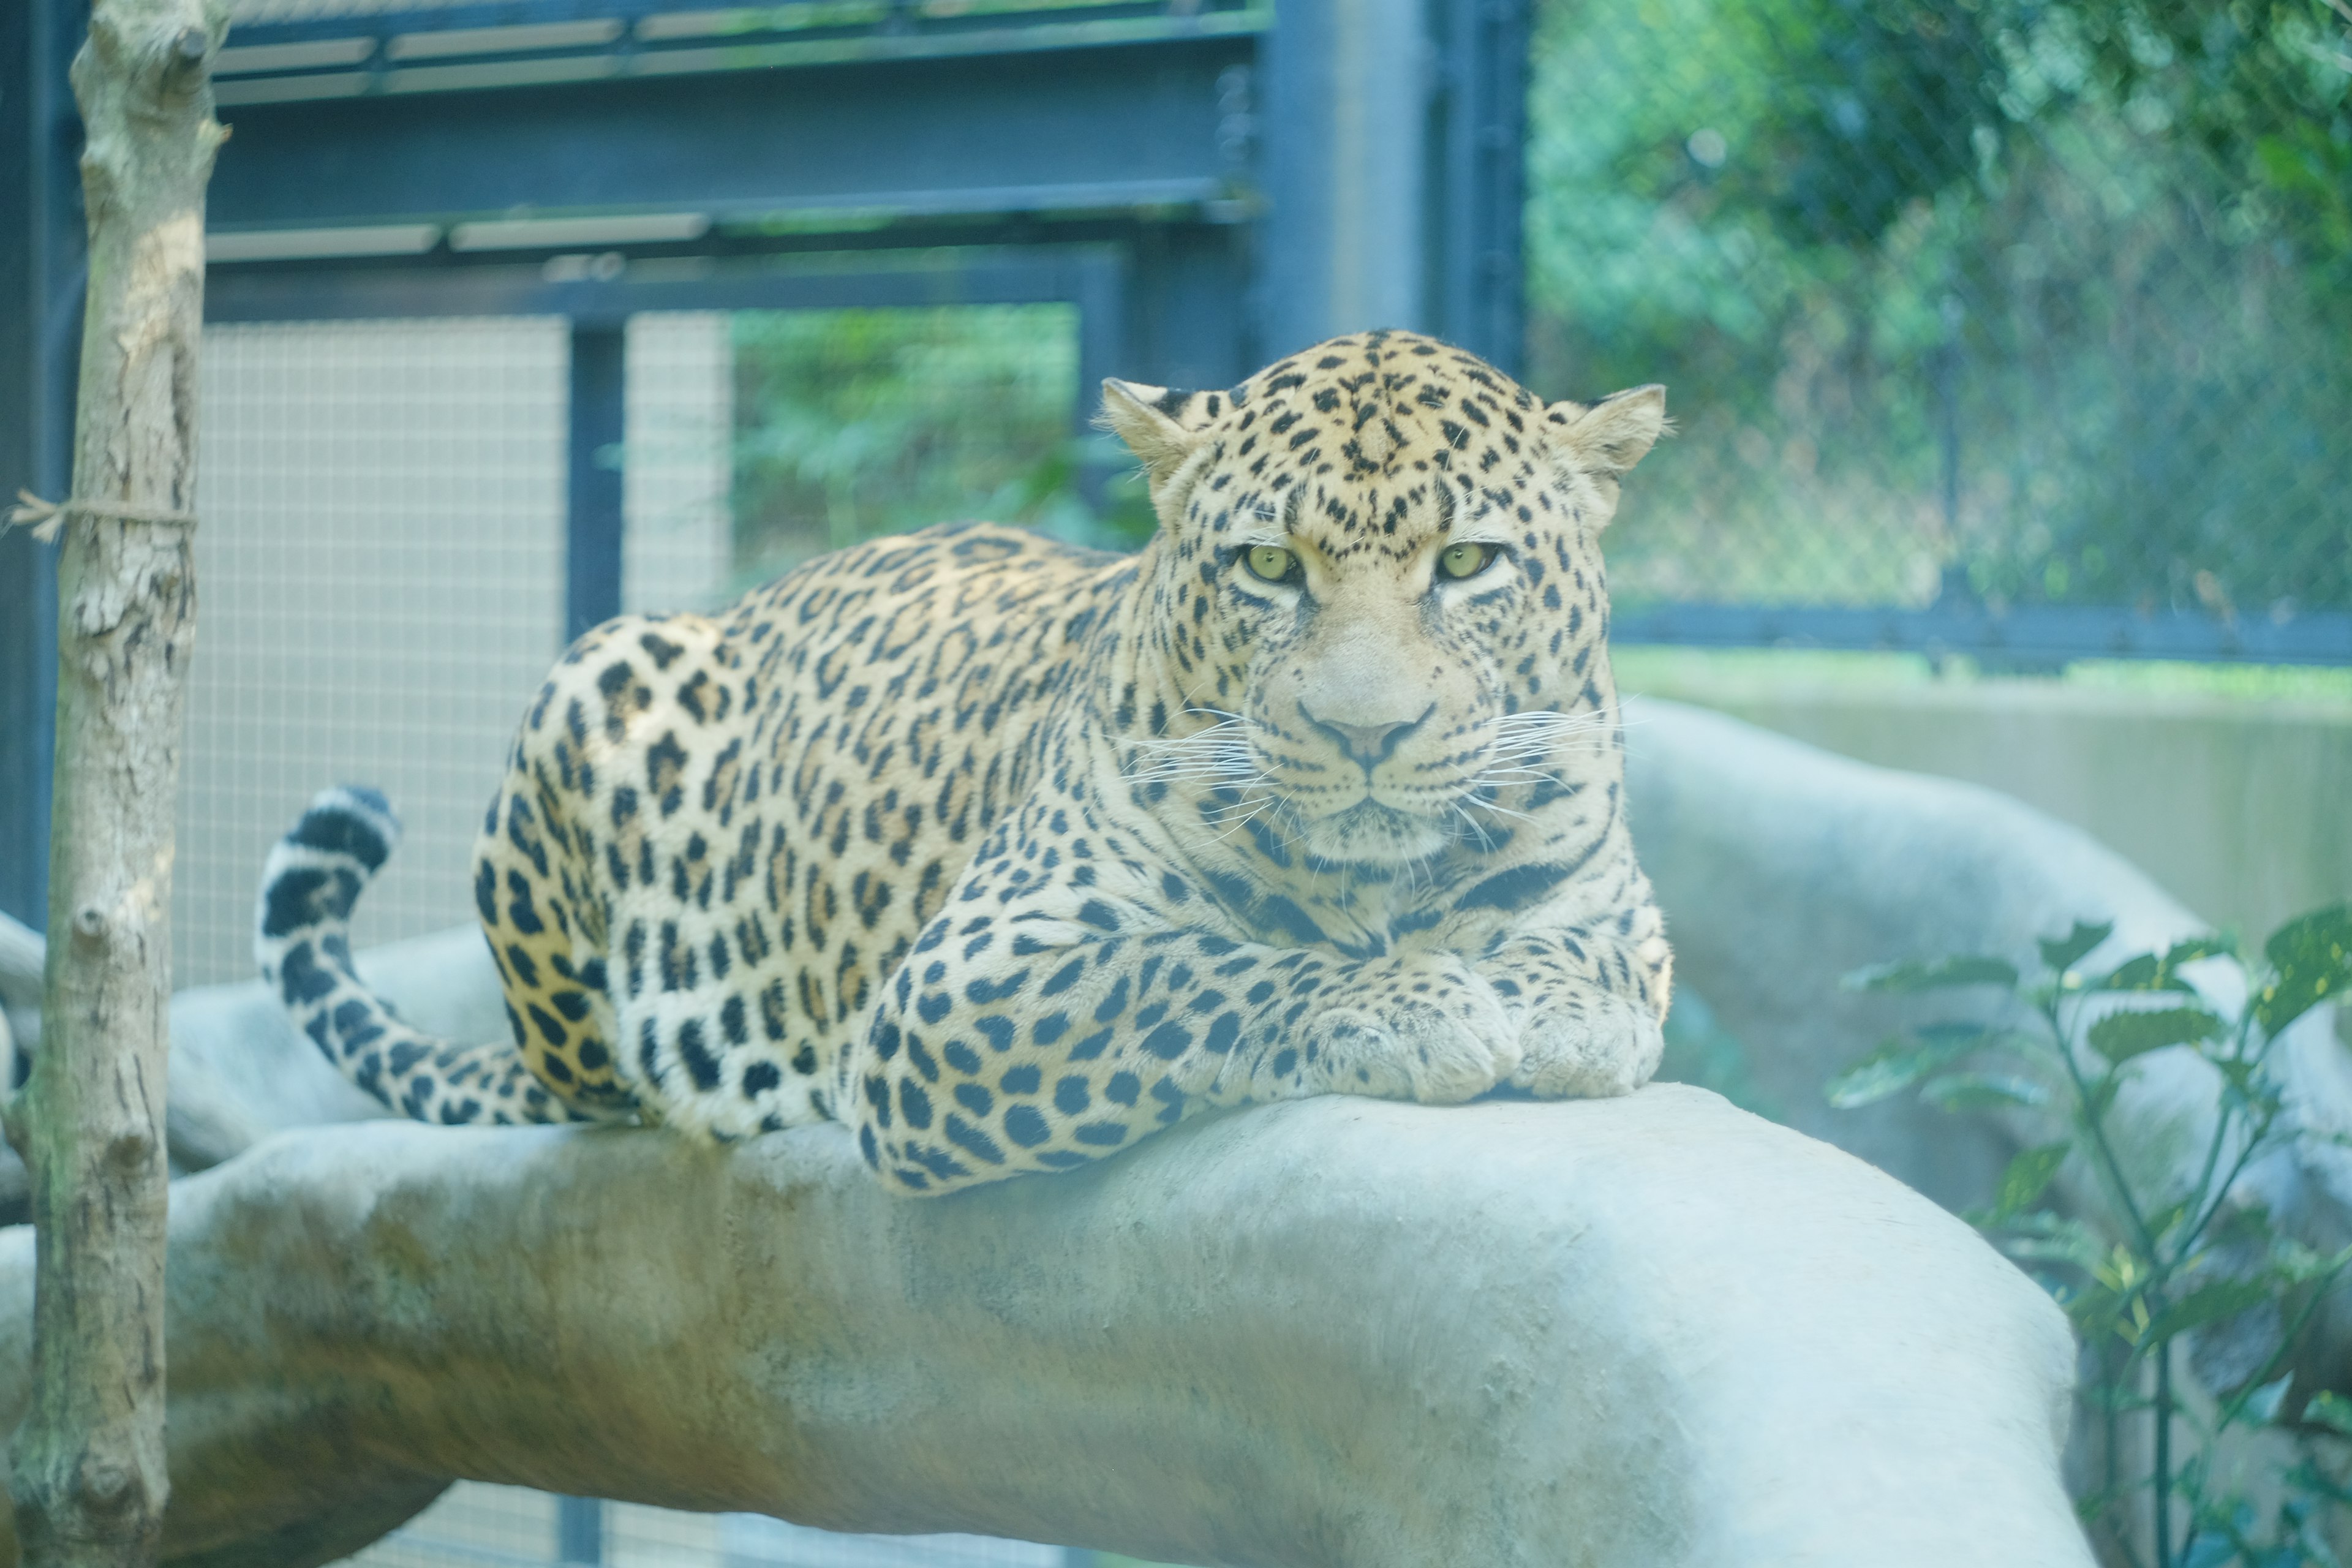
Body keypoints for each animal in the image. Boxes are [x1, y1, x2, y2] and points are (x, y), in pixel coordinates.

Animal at [257, 324, 1675, 1194]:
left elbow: (1592, 946)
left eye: (1469, 563)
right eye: (1271, 567)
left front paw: (1562, 1001)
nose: (1364, 732)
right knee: (606, 1088)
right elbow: (1194, 963)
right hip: (599, 671)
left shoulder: (1625, 903)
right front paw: (1405, 1004)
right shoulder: (961, 980)